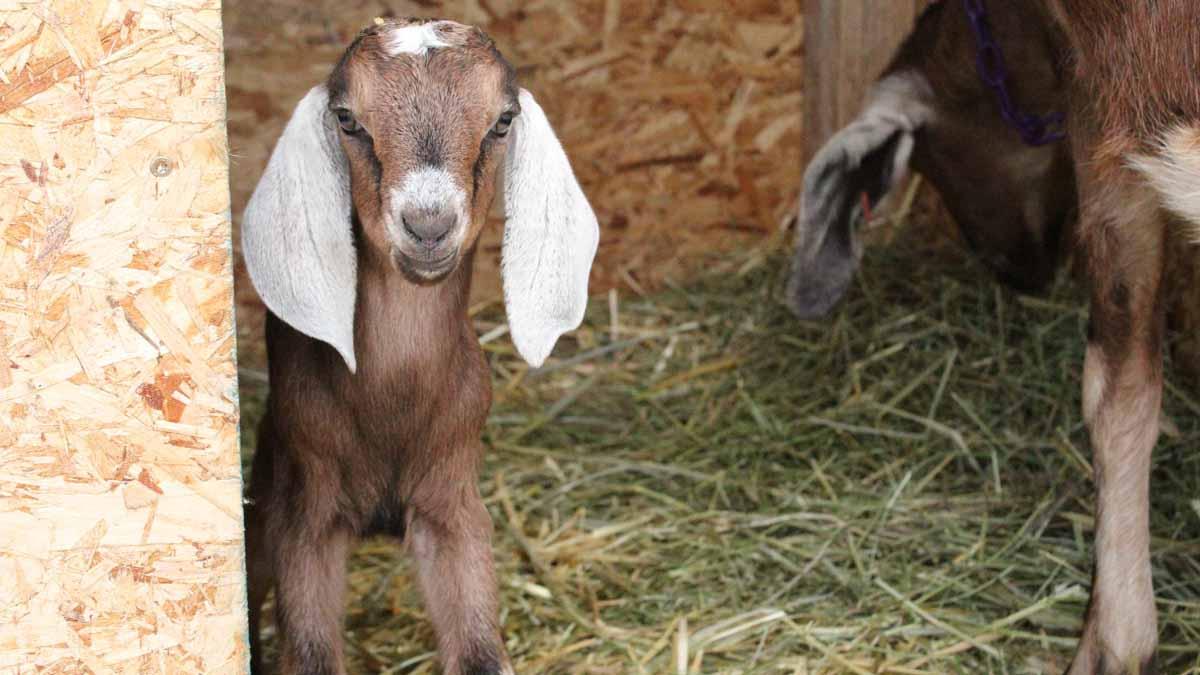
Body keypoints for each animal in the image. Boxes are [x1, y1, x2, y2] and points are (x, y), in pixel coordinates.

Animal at [240, 18, 600, 667]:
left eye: (502, 120)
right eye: (347, 118)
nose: (428, 225)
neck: (393, 405)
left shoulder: (452, 505)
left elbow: (481, 651)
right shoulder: (306, 516)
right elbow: (308, 649)